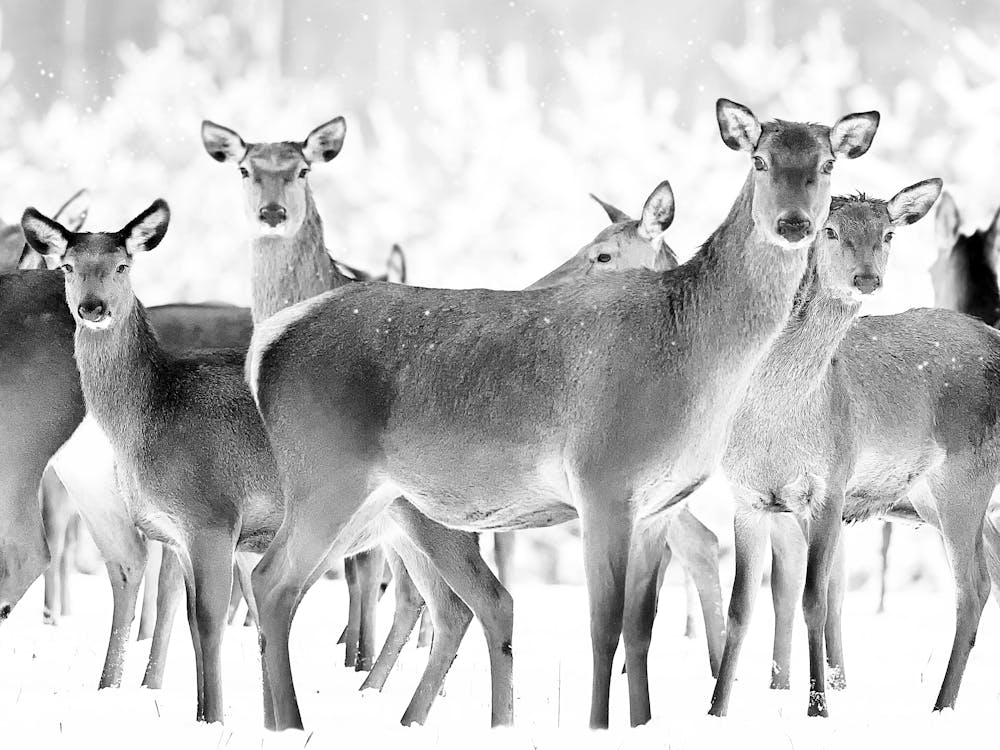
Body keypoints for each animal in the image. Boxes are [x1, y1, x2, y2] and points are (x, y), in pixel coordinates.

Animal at [243, 99, 879, 730]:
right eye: (760, 159)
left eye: (827, 163)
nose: (793, 223)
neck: (694, 356)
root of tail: (267, 343)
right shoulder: (603, 480)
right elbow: (602, 627)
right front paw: (597, 725)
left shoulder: (658, 504)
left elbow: (640, 629)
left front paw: (643, 724)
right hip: (327, 475)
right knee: (273, 582)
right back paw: (292, 725)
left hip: (376, 500)